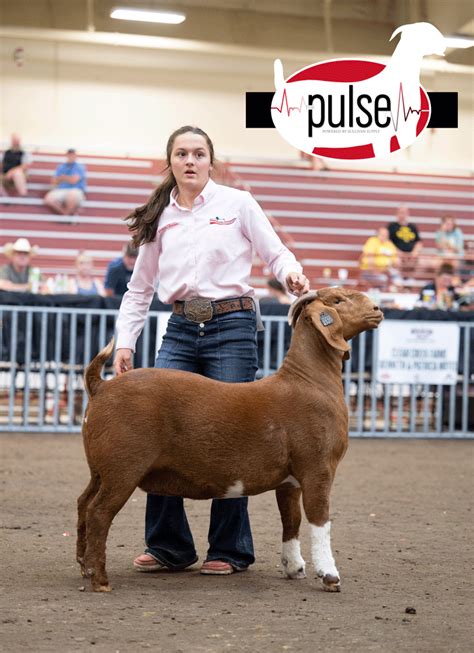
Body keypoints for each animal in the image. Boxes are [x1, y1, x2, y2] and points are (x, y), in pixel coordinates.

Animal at [77, 286, 382, 592]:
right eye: (338, 300)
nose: (377, 309)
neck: (306, 381)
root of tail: (101, 386)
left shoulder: (290, 480)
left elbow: (291, 520)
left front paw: (294, 567)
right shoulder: (318, 469)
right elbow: (320, 521)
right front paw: (330, 575)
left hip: (99, 469)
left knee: (83, 503)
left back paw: (84, 566)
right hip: (123, 469)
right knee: (99, 513)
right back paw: (100, 579)